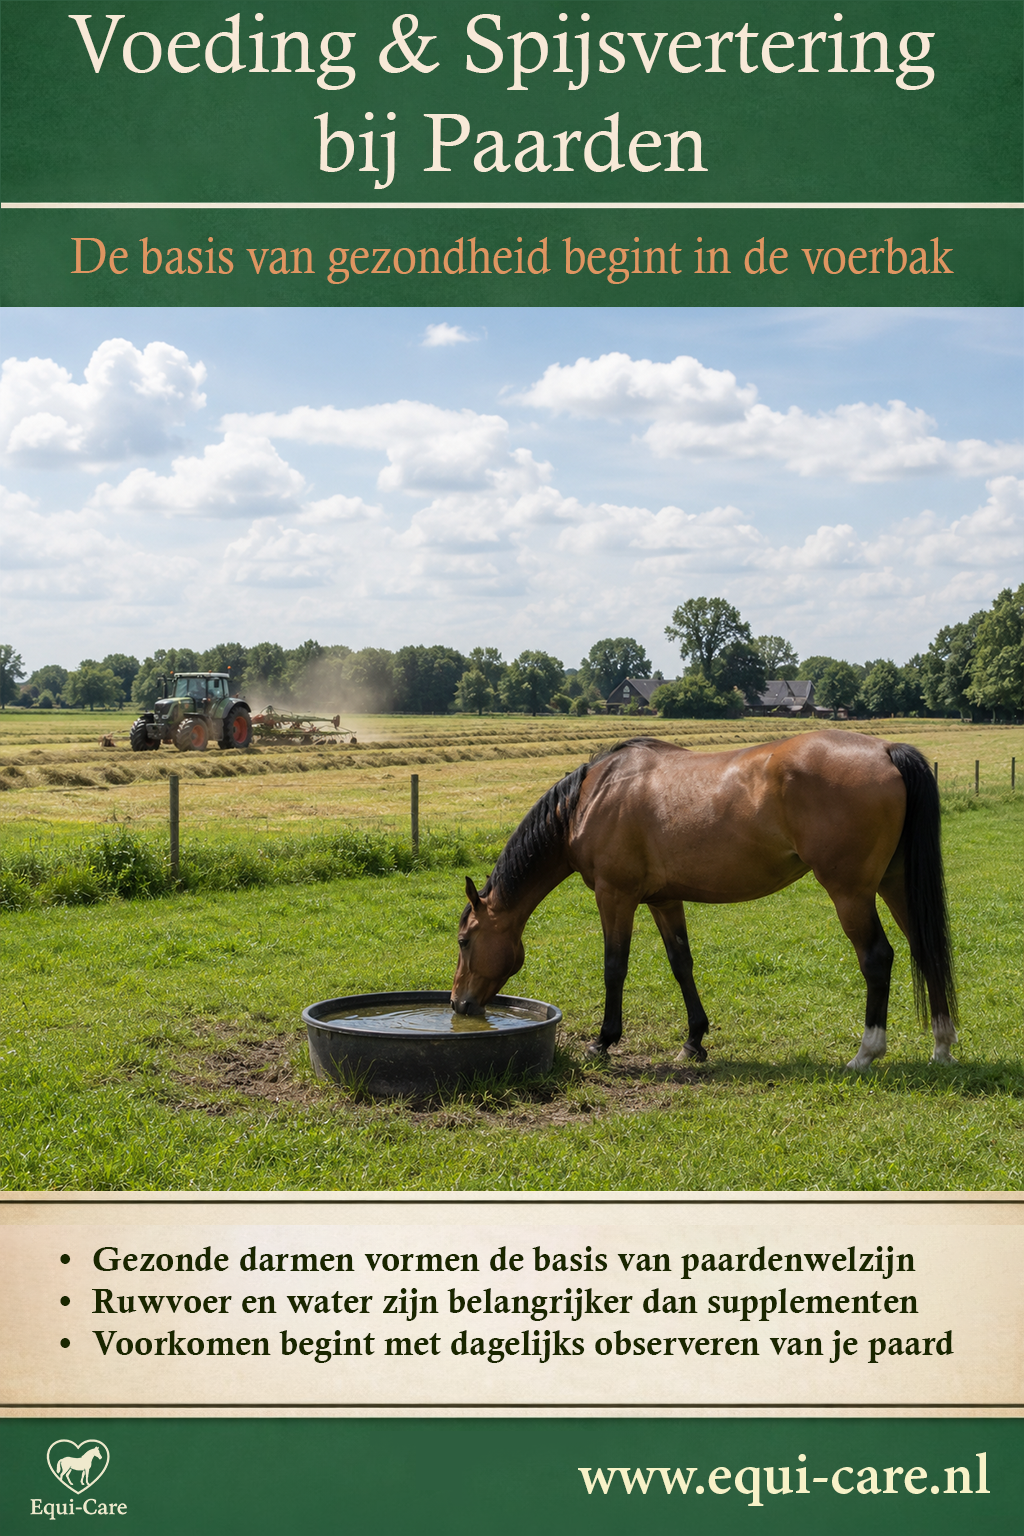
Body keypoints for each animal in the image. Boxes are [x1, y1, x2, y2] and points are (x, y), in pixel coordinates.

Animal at [451, 734, 957, 1070]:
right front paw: (694, 1041)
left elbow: (614, 966)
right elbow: (682, 964)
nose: (458, 1005)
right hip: (895, 884)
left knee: (877, 958)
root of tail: (885, 751)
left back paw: (866, 1053)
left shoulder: (616, 896)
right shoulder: (664, 900)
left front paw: (603, 1041)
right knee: (926, 949)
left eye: (463, 941)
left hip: (850, 893)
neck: (592, 798)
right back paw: (942, 1046)